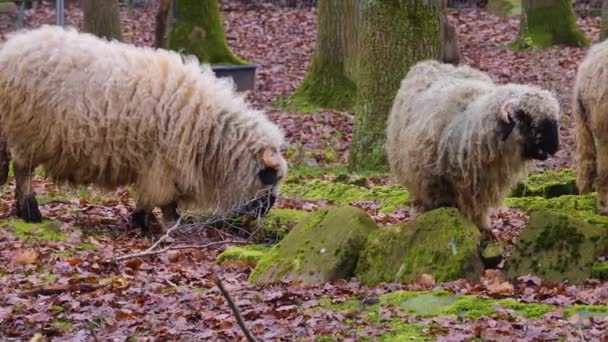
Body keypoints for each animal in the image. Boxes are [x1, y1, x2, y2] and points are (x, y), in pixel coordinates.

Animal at [0, 25, 288, 234]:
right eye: (268, 176)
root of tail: (11, 48)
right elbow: (162, 197)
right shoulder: (163, 163)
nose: (267, 209)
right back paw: (31, 212)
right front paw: (154, 225)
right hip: (27, 132)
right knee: (23, 171)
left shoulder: (158, 164)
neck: (213, 131)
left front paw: (147, 221)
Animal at [384, 60, 560, 232]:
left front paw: (481, 225)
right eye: (527, 120)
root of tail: (427, 63)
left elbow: (478, 206)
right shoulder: (434, 182)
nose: (554, 147)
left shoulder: (482, 184)